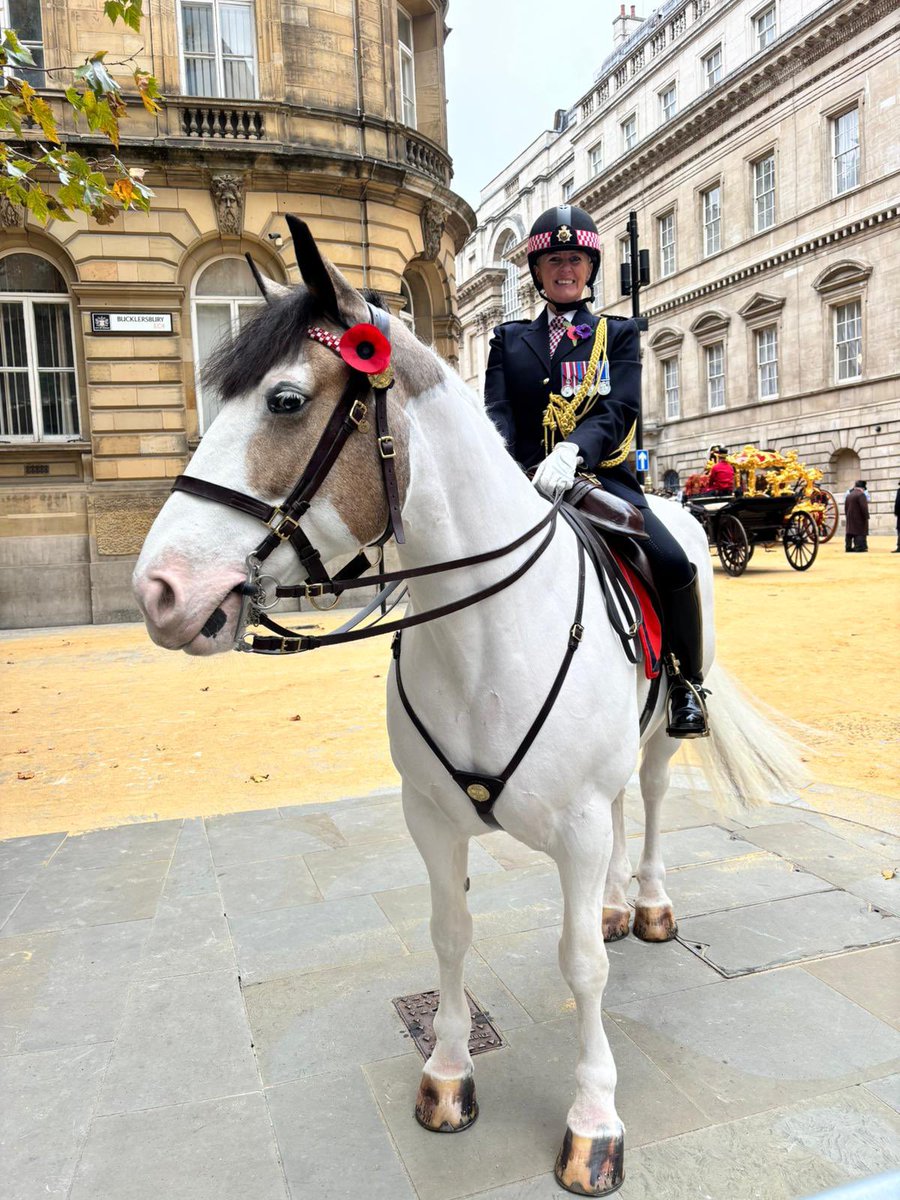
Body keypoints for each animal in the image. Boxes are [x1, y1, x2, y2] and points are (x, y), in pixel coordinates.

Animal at [133, 217, 804, 1196]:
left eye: (286, 401)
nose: (160, 591)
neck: (483, 636)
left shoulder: (574, 825)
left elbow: (582, 965)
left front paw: (593, 1119)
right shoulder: (433, 818)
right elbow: (449, 935)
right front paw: (448, 1074)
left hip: (659, 738)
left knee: (647, 803)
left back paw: (643, 902)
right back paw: (613, 901)